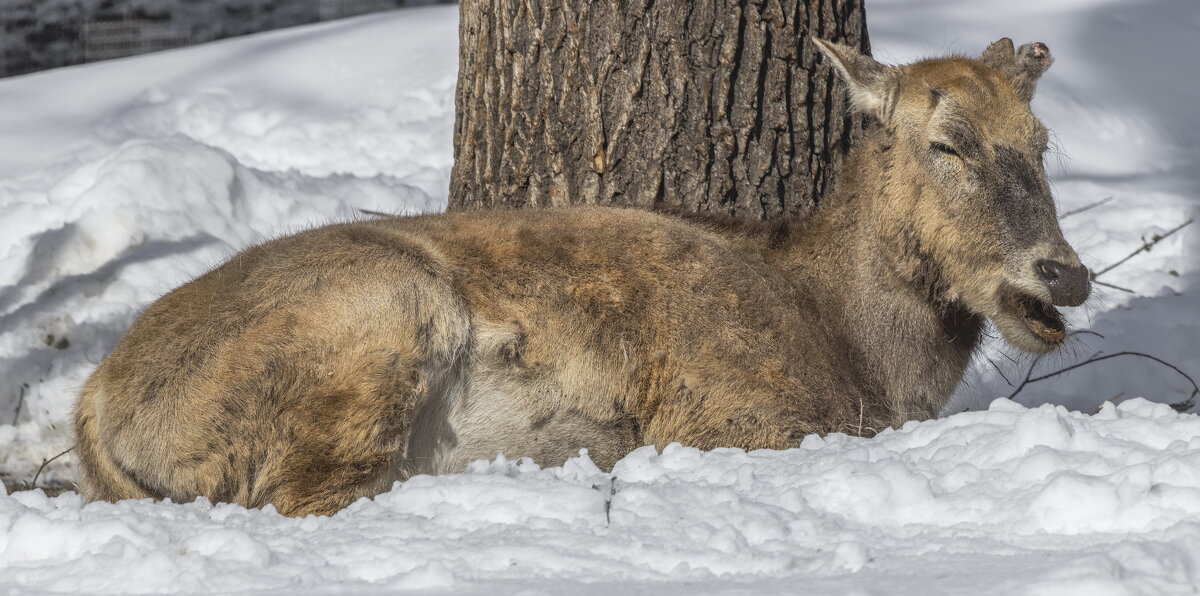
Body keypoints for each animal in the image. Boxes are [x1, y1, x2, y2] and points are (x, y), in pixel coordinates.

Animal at [72, 37, 1089, 513]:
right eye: (947, 142)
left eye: (1042, 143)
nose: (1064, 274)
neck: (859, 351)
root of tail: (93, 400)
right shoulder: (728, 417)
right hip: (380, 311)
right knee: (307, 495)